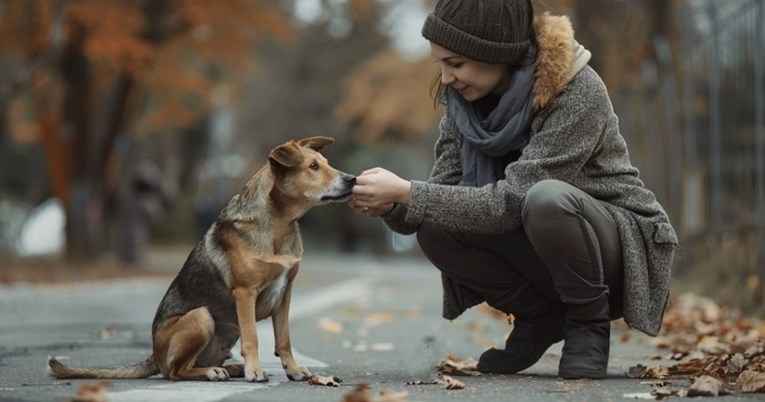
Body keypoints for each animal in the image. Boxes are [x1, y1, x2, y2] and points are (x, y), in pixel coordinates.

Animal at [49, 137, 354, 382]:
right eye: (313, 167)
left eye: (325, 163)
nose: (352, 179)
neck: (278, 222)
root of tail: (154, 355)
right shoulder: (245, 293)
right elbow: (252, 339)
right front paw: (255, 371)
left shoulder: (285, 294)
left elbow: (285, 339)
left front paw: (293, 370)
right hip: (201, 316)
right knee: (175, 372)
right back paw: (214, 372)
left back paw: (229, 368)